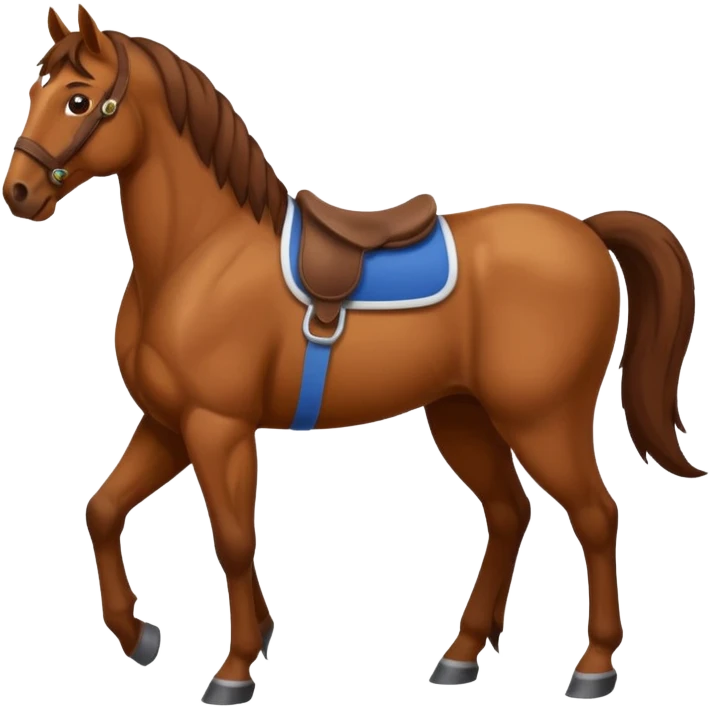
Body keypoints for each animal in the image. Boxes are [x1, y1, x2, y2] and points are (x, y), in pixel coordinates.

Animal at [3, 5, 704, 706]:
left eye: (78, 100)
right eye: (35, 91)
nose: (19, 193)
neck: (200, 255)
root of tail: (586, 230)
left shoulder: (217, 427)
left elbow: (233, 539)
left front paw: (235, 668)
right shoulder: (169, 424)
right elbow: (103, 510)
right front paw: (140, 635)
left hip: (542, 420)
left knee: (595, 515)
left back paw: (593, 666)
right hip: (463, 416)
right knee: (510, 514)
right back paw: (460, 656)